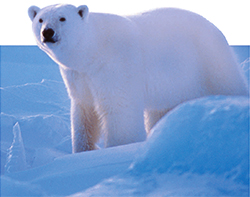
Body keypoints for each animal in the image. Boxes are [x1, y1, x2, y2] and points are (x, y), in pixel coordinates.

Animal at [28, 4, 247, 152]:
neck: (93, 49)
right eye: (40, 19)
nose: (48, 32)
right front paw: (82, 151)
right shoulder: (79, 76)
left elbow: (119, 109)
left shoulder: (115, 67)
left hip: (209, 61)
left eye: (62, 18)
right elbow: (84, 111)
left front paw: (118, 148)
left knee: (228, 85)